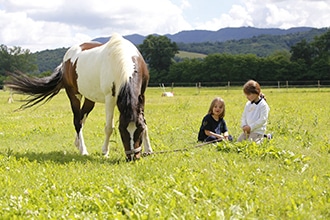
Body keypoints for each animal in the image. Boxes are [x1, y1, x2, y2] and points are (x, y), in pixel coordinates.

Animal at [4, 33, 153, 160]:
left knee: (82, 118)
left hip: (89, 99)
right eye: (122, 131)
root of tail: (65, 61)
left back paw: (77, 143)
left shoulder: (142, 95)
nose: (133, 157)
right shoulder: (110, 98)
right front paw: (105, 151)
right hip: (74, 95)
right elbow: (109, 127)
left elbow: (145, 122)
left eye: (139, 130)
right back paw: (83, 150)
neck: (122, 62)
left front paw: (148, 150)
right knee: (77, 121)